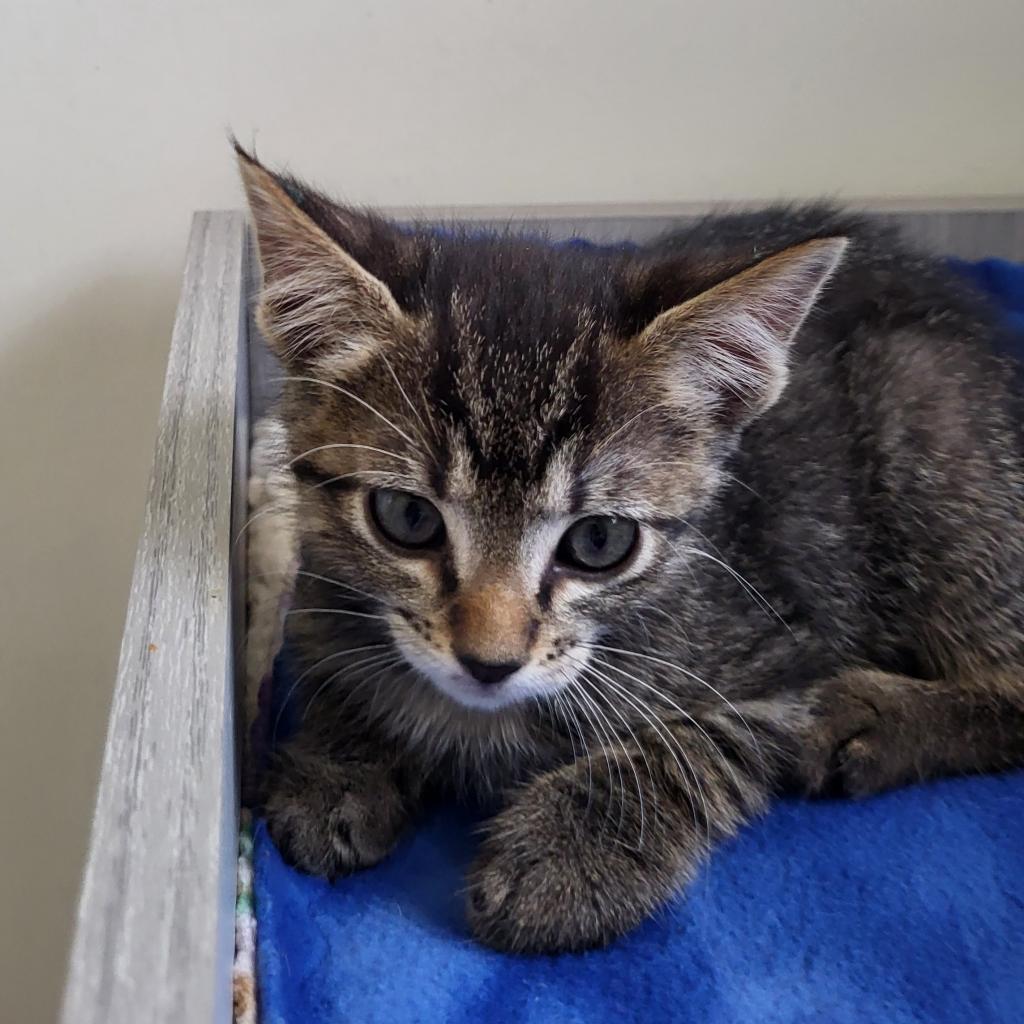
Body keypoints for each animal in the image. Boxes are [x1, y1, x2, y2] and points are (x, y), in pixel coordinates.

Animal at [235, 148, 1024, 954]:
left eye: (599, 542)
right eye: (406, 517)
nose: (490, 662)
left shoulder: (791, 643)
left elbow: (702, 742)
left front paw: (573, 851)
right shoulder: (315, 591)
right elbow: (331, 657)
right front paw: (339, 761)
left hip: (927, 424)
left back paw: (867, 718)